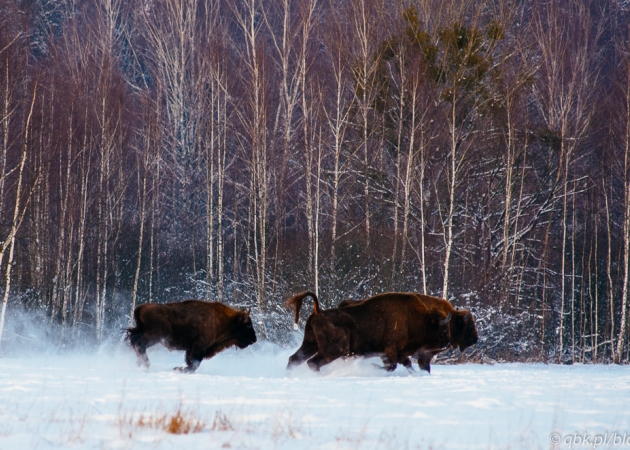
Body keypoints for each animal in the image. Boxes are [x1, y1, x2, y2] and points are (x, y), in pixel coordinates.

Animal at [126, 298, 256, 372]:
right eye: (248, 325)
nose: (254, 339)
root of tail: (141, 307)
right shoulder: (199, 347)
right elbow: (194, 363)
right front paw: (179, 369)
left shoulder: (191, 349)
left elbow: (191, 362)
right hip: (155, 336)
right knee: (140, 344)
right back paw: (146, 364)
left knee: (134, 340)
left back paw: (139, 364)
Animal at [286, 290, 454, 370]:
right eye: (443, 329)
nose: (448, 344)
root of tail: (318, 312)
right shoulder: (390, 351)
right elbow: (391, 366)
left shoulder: (399, 354)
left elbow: (405, 365)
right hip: (334, 351)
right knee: (312, 362)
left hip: (310, 344)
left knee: (295, 359)